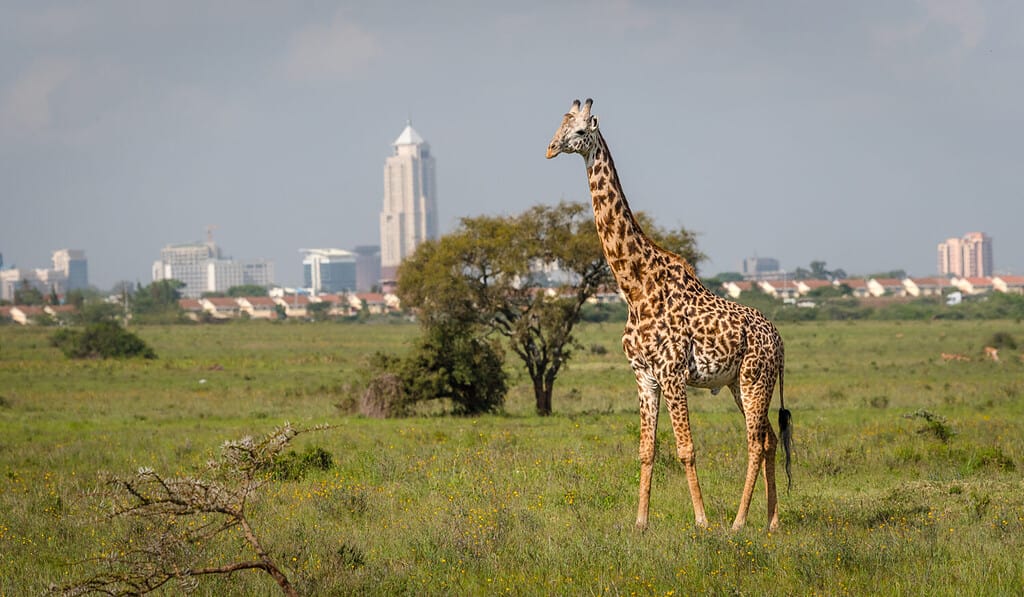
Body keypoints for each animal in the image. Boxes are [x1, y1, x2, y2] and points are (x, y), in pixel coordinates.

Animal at [544, 99, 790, 532]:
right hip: (737, 383)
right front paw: (640, 522)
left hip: (754, 379)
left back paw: (738, 522)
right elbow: (646, 449)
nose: (551, 149)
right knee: (770, 439)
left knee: (755, 443)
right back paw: (772, 522)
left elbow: (686, 448)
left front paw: (702, 521)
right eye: (560, 126)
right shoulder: (644, 375)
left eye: (579, 132)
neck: (635, 287)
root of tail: (779, 341)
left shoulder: (673, 373)